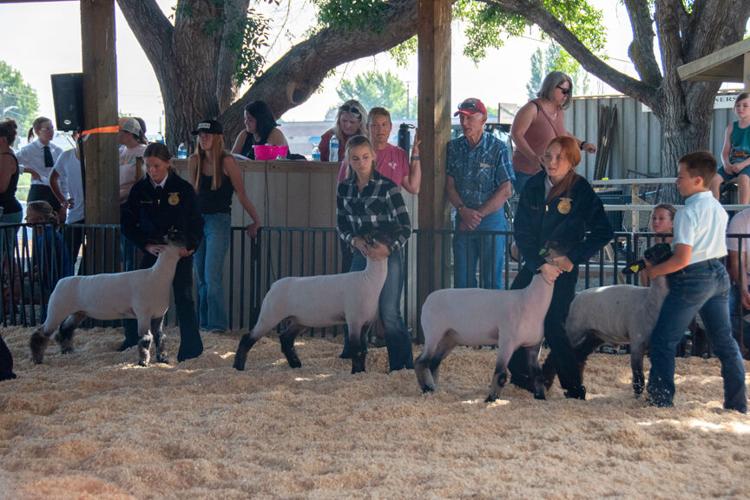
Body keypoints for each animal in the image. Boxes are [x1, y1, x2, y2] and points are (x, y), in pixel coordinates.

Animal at [29, 240, 184, 366]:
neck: (156, 277)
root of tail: (60, 282)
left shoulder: (158, 315)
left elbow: (160, 337)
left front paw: (163, 359)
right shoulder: (143, 314)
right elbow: (146, 339)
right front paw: (143, 362)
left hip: (78, 312)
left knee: (65, 329)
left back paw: (67, 350)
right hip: (57, 310)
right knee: (41, 333)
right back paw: (37, 359)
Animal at [235, 229, 396, 374]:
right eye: (380, 238)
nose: (395, 242)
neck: (369, 281)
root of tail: (274, 285)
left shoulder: (366, 323)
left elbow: (363, 350)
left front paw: (361, 371)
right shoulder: (354, 320)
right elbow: (356, 350)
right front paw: (356, 372)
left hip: (299, 320)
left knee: (286, 339)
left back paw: (296, 364)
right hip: (270, 315)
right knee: (248, 338)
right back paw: (238, 366)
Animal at [418, 258, 564, 402]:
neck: (528, 301)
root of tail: (428, 299)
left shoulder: (534, 346)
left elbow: (538, 375)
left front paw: (541, 397)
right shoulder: (506, 341)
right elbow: (500, 374)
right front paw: (491, 399)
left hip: (449, 338)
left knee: (432, 362)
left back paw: (433, 388)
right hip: (433, 333)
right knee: (422, 361)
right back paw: (428, 388)